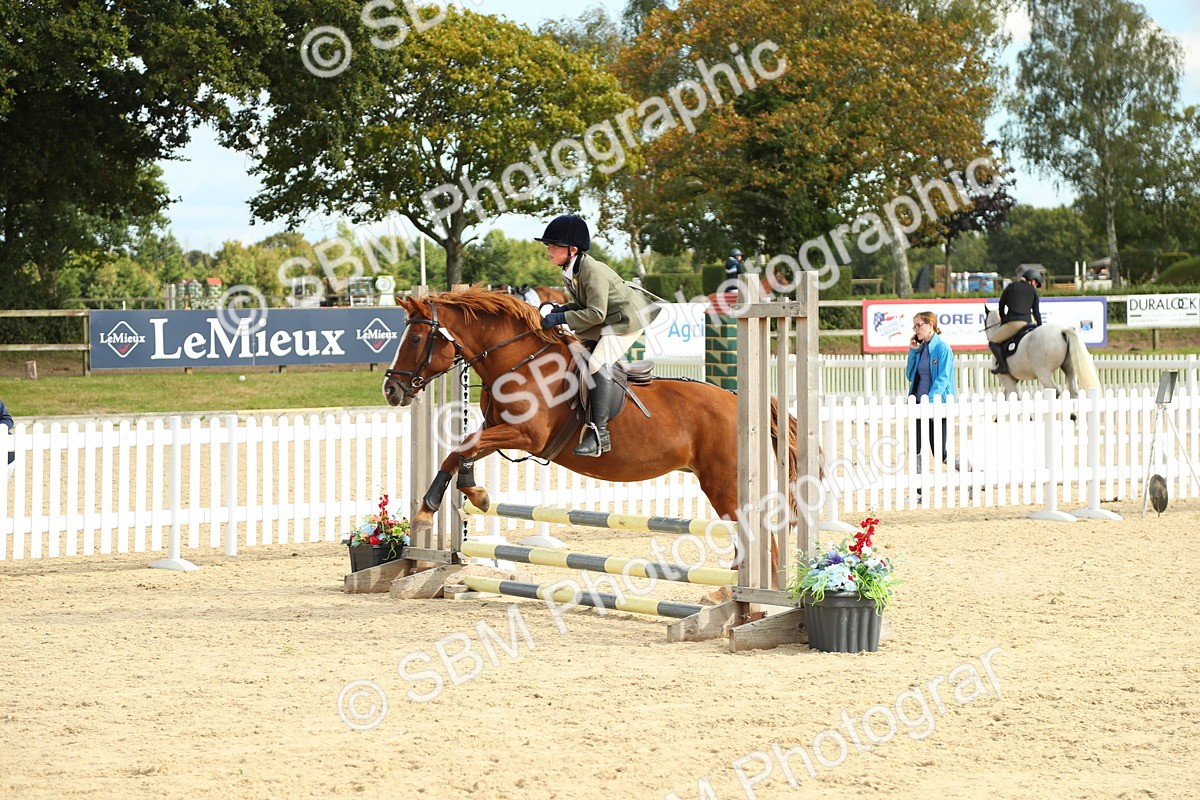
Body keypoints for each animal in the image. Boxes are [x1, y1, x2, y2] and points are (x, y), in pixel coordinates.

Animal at [382, 288, 800, 569]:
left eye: (415, 338)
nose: (391, 390)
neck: (520, 361)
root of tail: (736, 400)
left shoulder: (528, 436)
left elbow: (463, 446)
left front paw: (440, 504)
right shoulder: (499, 428)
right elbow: (461, 450)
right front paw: (461, 498)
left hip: (723, 483)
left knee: (757, 536)